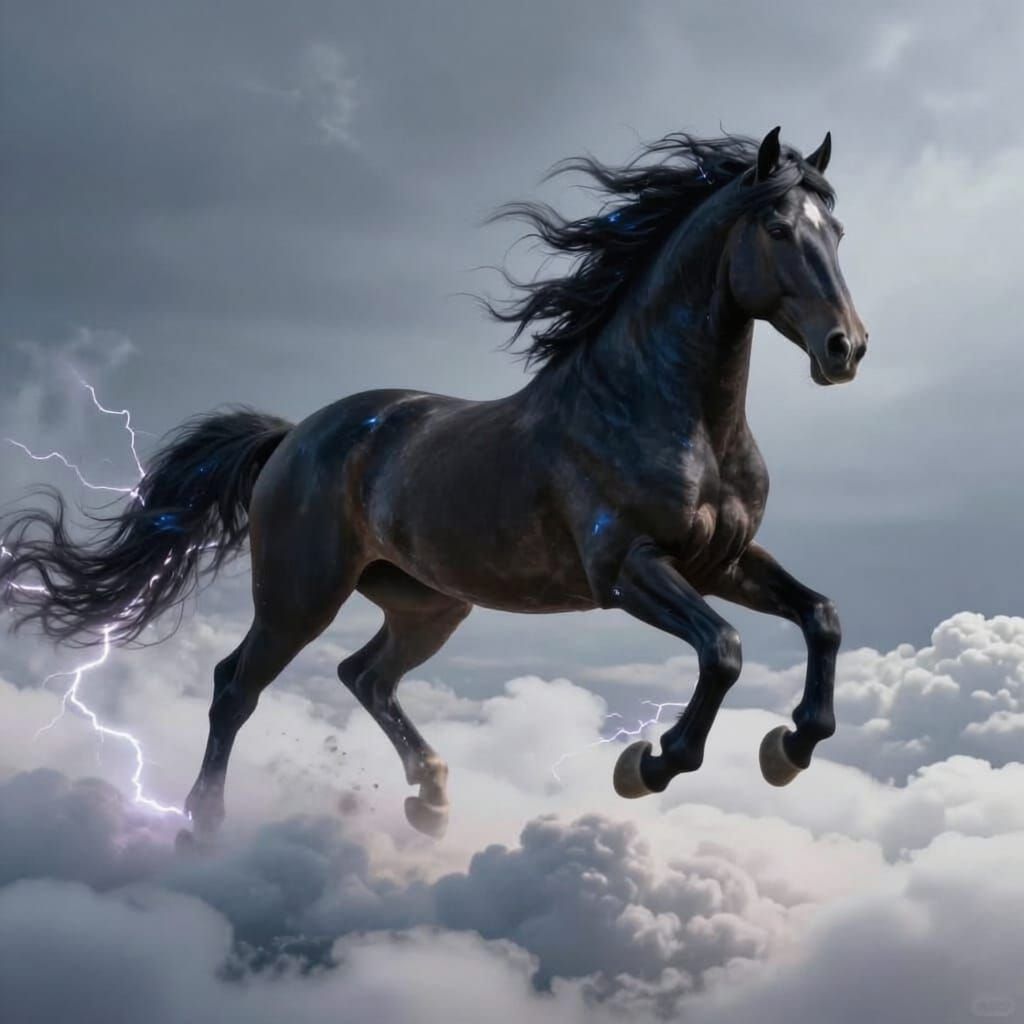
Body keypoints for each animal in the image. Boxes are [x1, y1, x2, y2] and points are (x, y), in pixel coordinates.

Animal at [0, 127, 868, 839]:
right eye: (779, 229)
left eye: (838, 231)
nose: (845, 348)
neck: (664, 409)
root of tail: (293, 437)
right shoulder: (628, 568)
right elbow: (722, 650)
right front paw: (650, 764)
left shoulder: (720, 562)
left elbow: (821, 617)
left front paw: (792, 744)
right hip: (299, 596)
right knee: (234, 686)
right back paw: (202, 826)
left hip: (428, 603)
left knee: (364, 675)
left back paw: (433, 797)